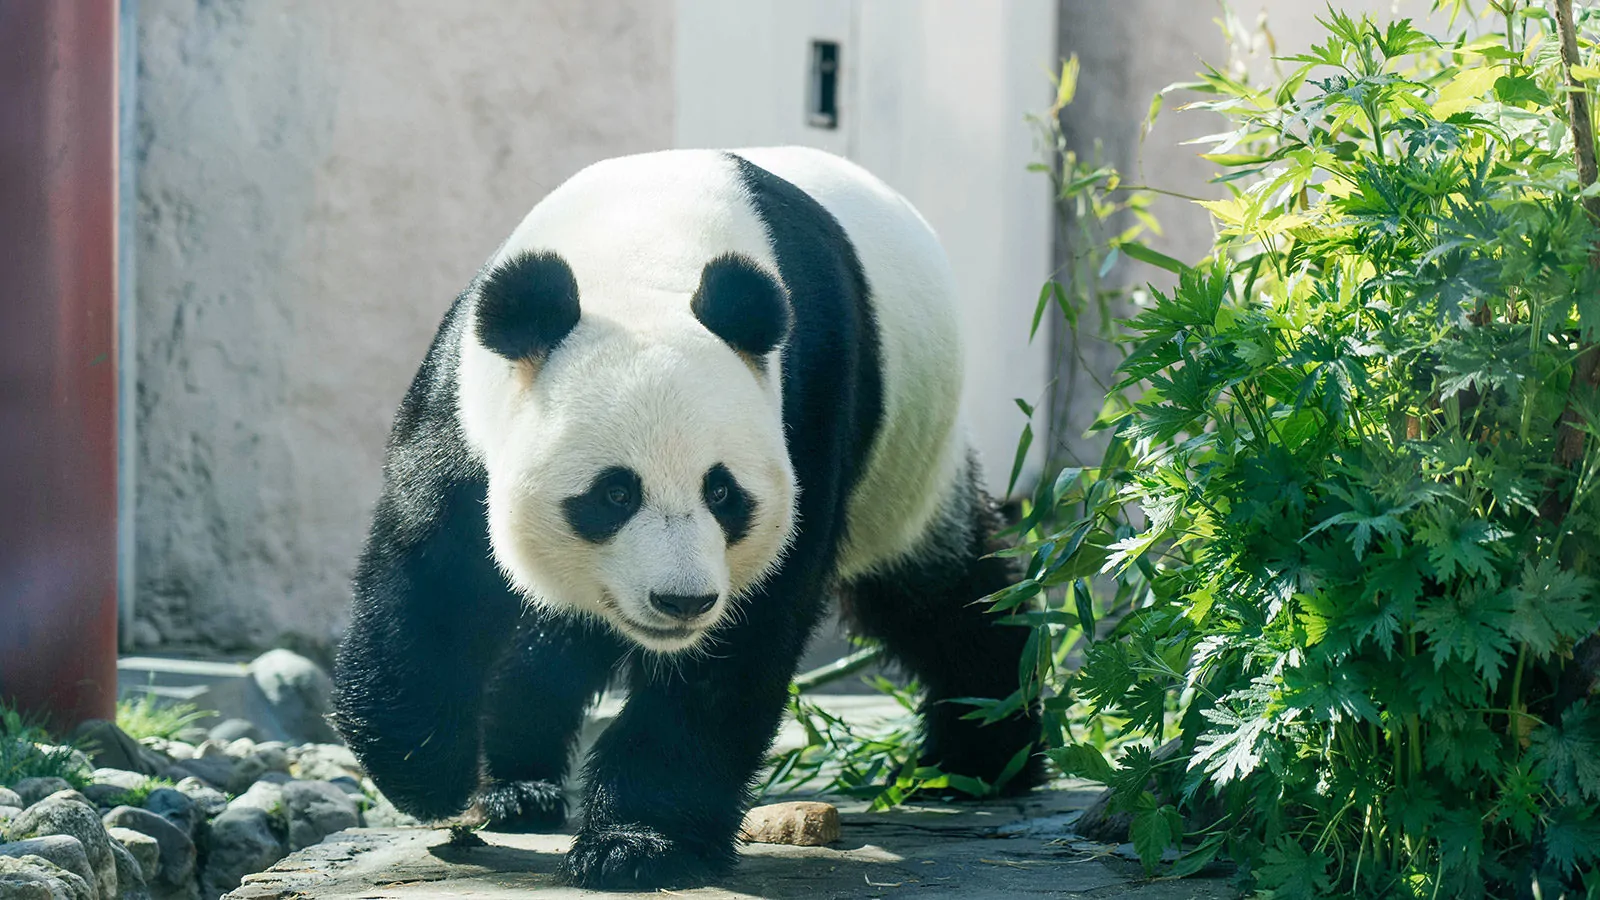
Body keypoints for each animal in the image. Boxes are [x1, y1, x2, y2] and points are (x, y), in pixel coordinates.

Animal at [331, 145, 1043, 883]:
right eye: (615, 494)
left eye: (723, 494)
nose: (682, 602)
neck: (645, 255)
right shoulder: (469, 394)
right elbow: (431, 564)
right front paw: (425, 774)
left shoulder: (809, 394)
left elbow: (745, 634)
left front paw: (638, 844)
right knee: (550, 637)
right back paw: (519, 788)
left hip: (906, 459)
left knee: (942, 598)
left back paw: (982, 754)